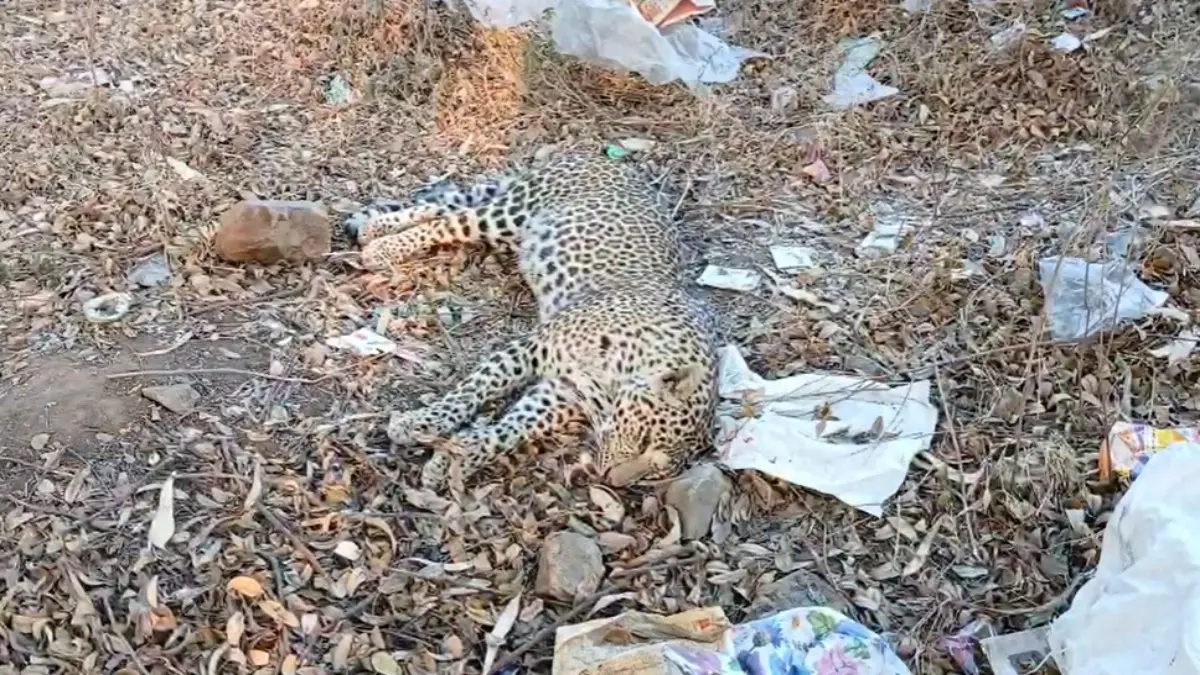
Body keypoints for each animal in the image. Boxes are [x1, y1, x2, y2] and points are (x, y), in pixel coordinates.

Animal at [345, 150, 719, 492]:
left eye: (652, 475)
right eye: (643, 440)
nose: (612, 482)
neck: (622, 373)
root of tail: (597, 156)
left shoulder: (562, 392)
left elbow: (509, 430)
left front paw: (456, 460)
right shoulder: (534, 347)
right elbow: (471, 391)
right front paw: (421, 423)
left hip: (508, 231)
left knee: (442, 210)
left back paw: (375, 228)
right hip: (512, 213)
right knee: (450, 221)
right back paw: (380, 243)